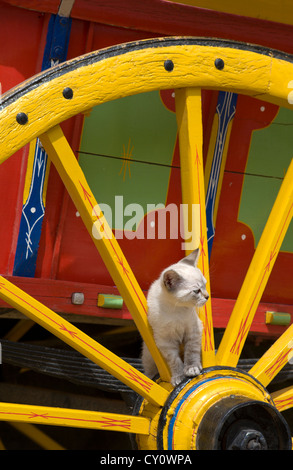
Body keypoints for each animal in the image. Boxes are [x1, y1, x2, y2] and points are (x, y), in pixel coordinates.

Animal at [141, 250, 208, 386]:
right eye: (196, 291)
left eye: (205, 285)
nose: (207, 296)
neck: (177, 310)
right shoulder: (165, 340)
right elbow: (174, 360)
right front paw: (179, 377)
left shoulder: (194, 330)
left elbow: (191, 352)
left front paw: (192, 369)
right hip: (149, 356)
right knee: (150, 372)